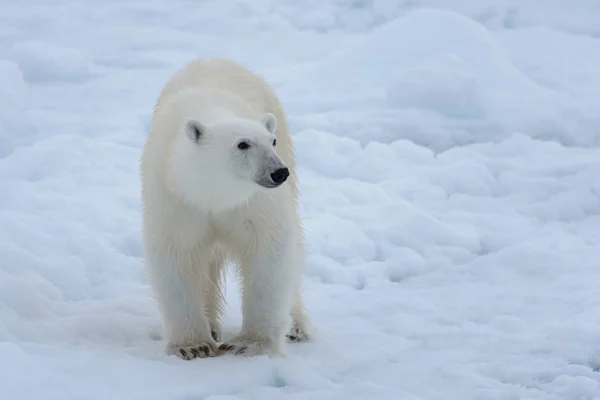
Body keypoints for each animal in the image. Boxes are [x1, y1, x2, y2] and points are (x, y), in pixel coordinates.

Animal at [139, 57, 312, 360]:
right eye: (242, 144)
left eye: (271, 141)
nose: (279, 172)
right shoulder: (176, 199)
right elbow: (175, 255)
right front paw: (193, 346)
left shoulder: (253, 204)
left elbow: (270, 249)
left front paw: (251, 343)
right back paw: (211, 326)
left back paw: (297, 326)